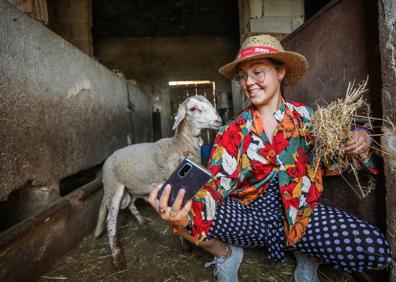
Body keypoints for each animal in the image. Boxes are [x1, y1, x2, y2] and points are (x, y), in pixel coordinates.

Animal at [94, 95, 221, 268]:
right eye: (193, 109)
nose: (218, 120)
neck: (179, 145)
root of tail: (107, 160)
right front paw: (184, 243)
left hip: (134, 187)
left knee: (131, 203)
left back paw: (141, 221)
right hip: (113, 187)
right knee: (110, 221)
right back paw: (116, 256)